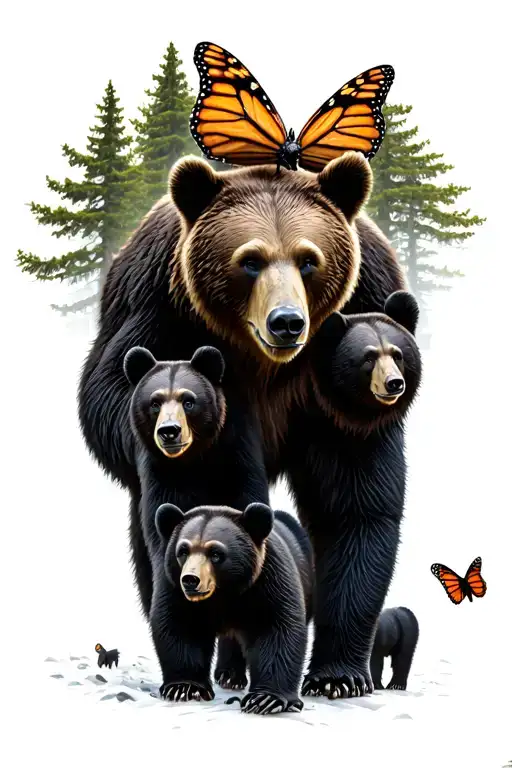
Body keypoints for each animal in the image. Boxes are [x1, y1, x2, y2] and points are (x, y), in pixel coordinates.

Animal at [123, 344, 270, 691]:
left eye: (188, 400)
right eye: (155, 402)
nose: (170, 432)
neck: (197, 461)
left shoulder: (238, 465)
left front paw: (232, 669)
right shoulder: (162, 482)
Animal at [151, 502, 314, 714]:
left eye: (215, 553)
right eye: (183, 551)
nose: (190, 579)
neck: (225, 593)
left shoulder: (269, 583)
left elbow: (277, 631)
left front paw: (266, 699)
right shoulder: (173, 587)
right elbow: (179, 627)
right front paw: (185, 687)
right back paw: (229, 675)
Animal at [283, 290, 422, 698]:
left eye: (398, 353)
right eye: (367, 357)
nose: (394, 384)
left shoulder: (352, 438)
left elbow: (359, 516)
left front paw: (336, 678)